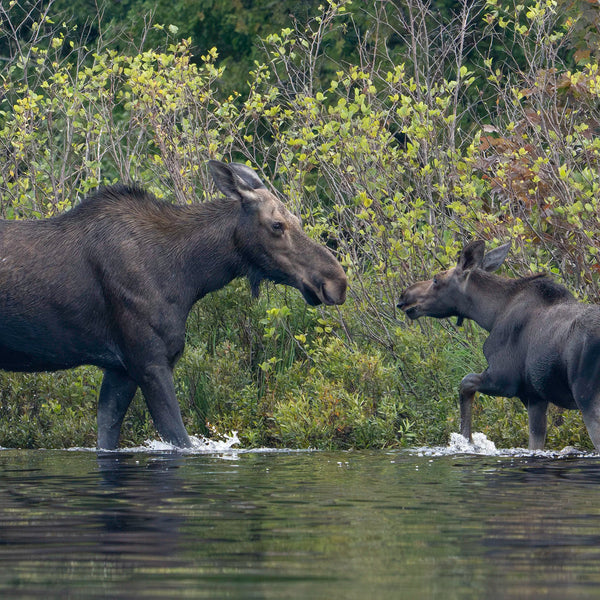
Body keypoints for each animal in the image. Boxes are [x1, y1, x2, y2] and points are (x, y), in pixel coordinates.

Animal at [0, 162, 346, 448]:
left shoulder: (120, 369)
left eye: (296, 219)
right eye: (277, 225)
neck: (190, 277)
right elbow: (181, 440)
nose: (336, 281)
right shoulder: (149, 361)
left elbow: (107, 437)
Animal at [398, 241, 600, 452]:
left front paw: (467, 441)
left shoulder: (504, 380)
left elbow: (465, 382)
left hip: (586, 396)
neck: (491, 315)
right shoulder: (535, 396)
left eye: (436, 279)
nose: (404, 296)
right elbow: (535, 443)